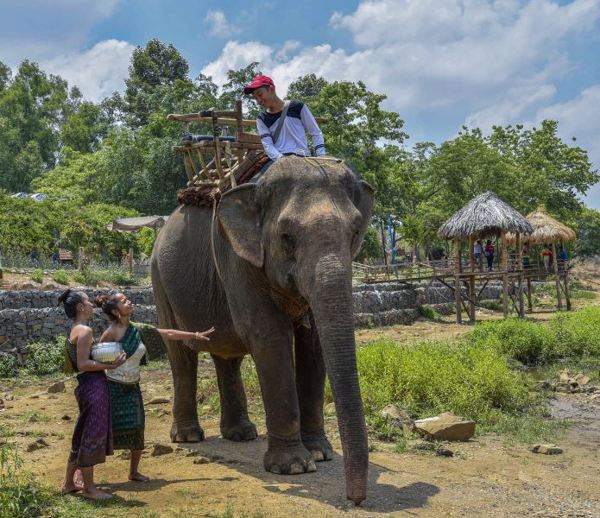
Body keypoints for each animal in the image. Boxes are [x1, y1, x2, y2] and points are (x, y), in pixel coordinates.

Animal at [151, 156, 370, 506]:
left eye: (356, 232)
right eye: (286, 237)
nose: (356, 500)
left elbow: (313, 344)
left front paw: (320, 455)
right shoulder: (238, 259)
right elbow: (269, 336)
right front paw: (293, 468)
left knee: (227, 356)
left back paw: (241, 435)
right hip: (160, 282)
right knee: (181, 356)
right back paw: (189, 437)